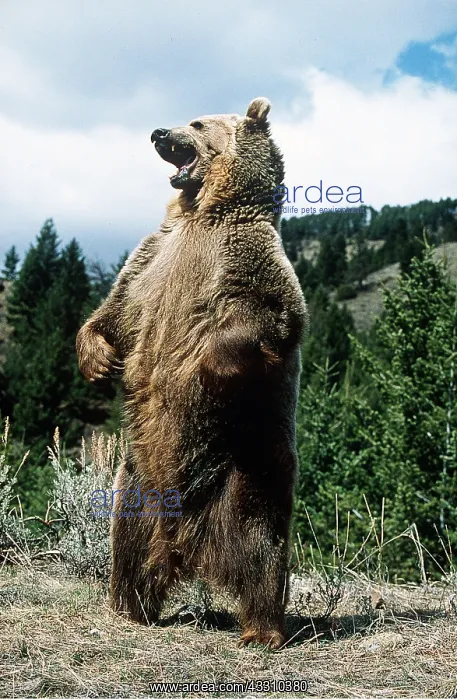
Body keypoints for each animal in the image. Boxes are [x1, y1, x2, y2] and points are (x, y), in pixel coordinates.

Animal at [76, 97, 307, 649]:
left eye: (199, 123)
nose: (159, 132)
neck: (204, 212)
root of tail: (189, 546)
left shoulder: (246, 255)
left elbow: (270, 315)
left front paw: (209, 362)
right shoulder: (152, 260)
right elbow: (114, 312)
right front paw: (97, 357)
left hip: (249, 466)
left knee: (262, 549)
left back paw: (262, 630)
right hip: (138, 479)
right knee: (128, 544)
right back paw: (127, 607)